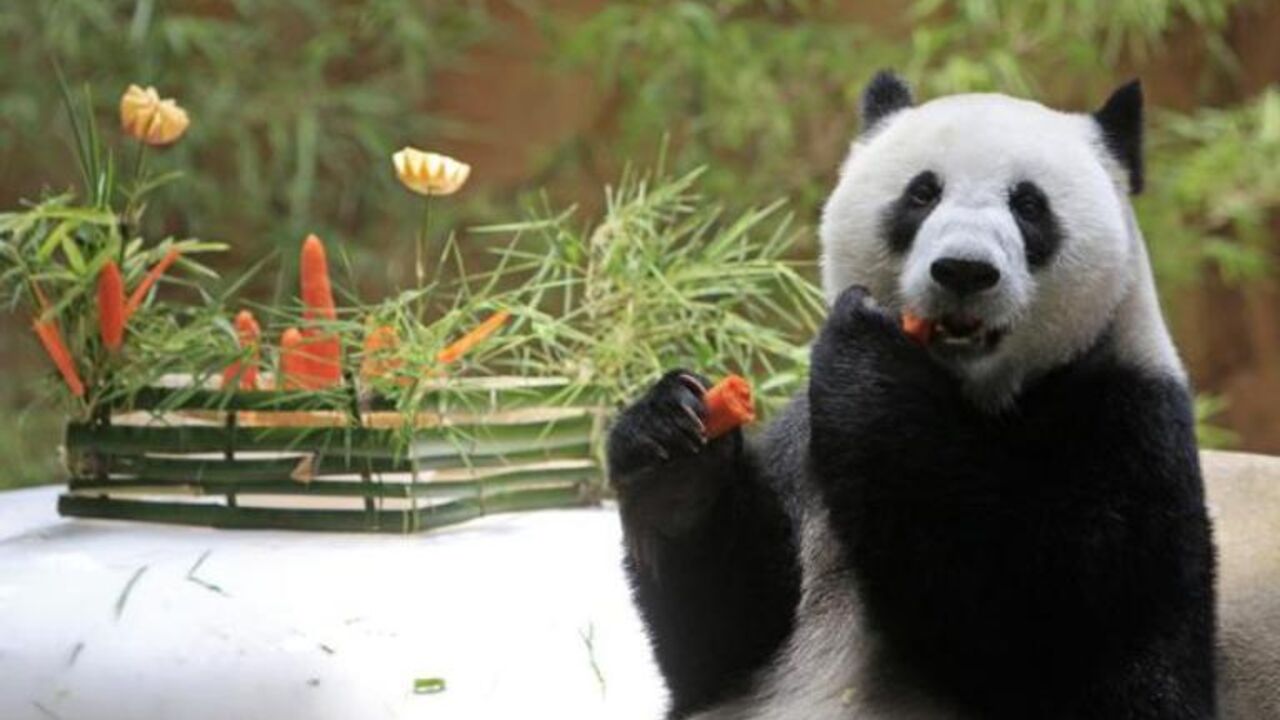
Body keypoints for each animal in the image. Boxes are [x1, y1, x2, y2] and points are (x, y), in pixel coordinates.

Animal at [606, 72, 1222, 719]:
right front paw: (676, 460)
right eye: (922, 193)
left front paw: (872, 357)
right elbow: (723, 643)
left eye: (1029, 205)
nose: (964, 270)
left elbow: (1052, 630)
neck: (978, 392)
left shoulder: (1126, 424)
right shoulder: (800, 452)